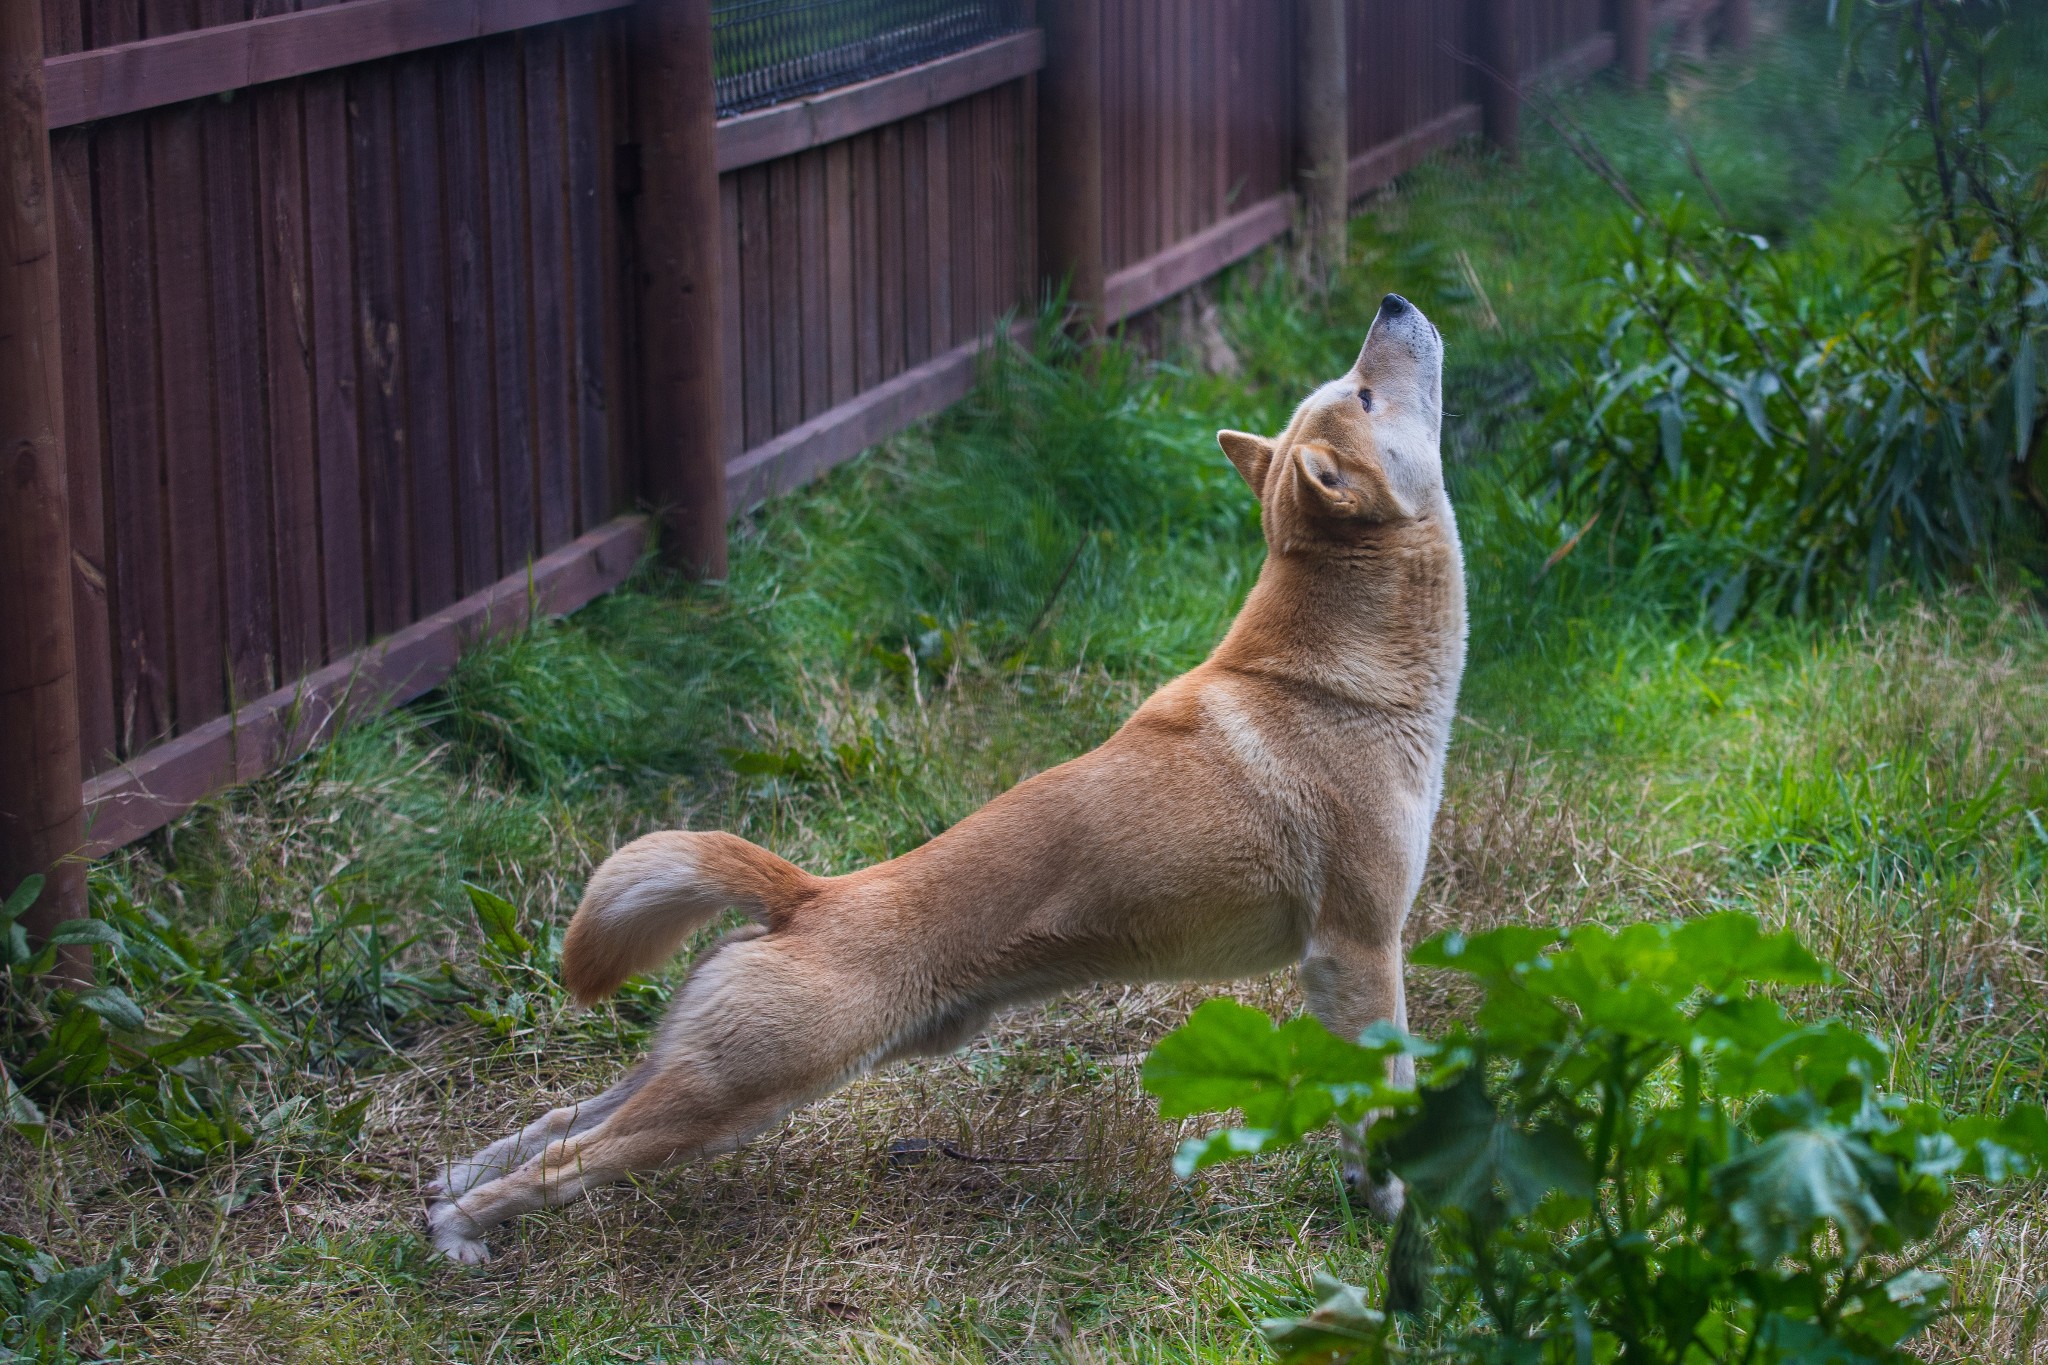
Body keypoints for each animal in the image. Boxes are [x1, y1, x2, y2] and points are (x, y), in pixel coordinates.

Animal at [423, 294, 1466, 1268]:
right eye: (1361, 393)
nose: (1392, 305)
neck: (1335, 681)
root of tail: (810, 894)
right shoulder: (1357, 947)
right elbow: (1386, 1099)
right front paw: (1398, 1207)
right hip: (733, 1096)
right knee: (564, 1160)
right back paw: (458, 1231)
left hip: (710, 1075)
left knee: (566, 1116)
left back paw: (454, 1180)